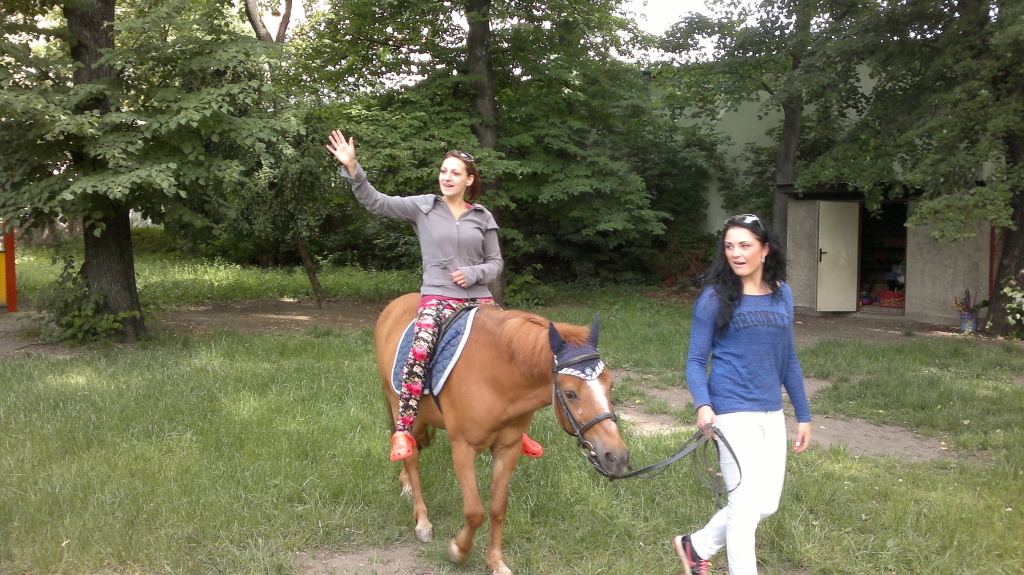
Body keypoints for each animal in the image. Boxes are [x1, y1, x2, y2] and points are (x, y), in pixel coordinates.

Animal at [374, 292, 630, 575]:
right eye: (571, 393)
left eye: (611, 385)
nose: (616, 456)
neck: (496, 376)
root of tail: (395, 304)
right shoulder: (463, 448)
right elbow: (475, 511)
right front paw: (458, 551)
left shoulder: (508, 448)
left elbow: (497, 508)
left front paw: (496, 563)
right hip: (401, 404)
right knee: (409, 452)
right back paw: (422, 520)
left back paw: (406, 484)